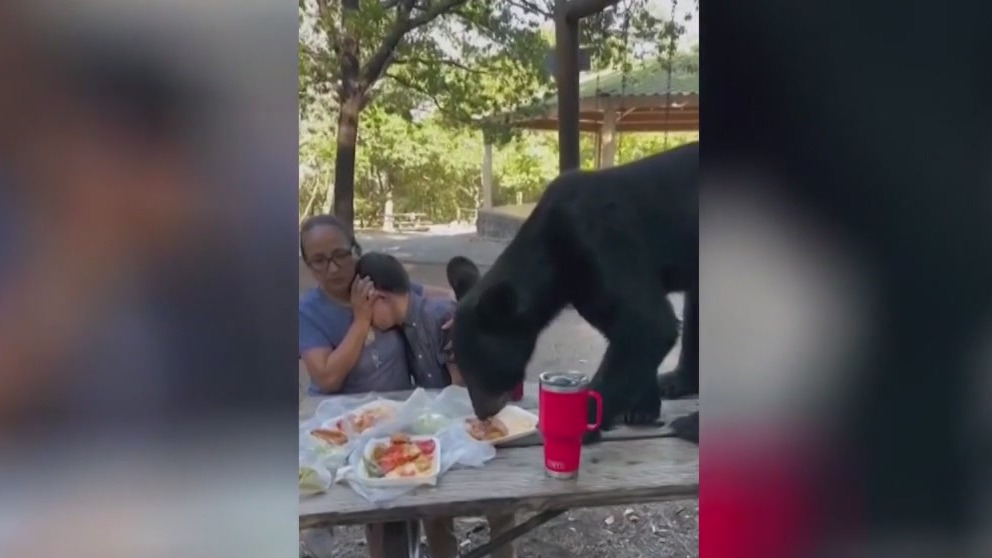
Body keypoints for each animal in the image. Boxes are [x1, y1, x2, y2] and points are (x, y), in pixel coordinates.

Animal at [445, 143, 699, 444]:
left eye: (481, 367)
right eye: (459, 362)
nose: (483, 412)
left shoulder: (603, 240)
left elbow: (648, 324)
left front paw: (582, 423)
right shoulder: (585, 289)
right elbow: (624, 329)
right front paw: (642, 408)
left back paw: (690, 424)